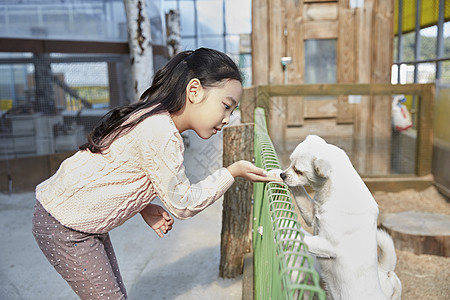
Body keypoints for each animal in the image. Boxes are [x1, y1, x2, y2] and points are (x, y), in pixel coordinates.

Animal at [274, 135, 400, 300]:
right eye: (290, 163)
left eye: (298, 171)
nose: (283, 174)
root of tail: (386, 271)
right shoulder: (311, 216)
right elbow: (299, 190)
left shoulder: (328, 244)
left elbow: (301, 237)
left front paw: (282, 235)